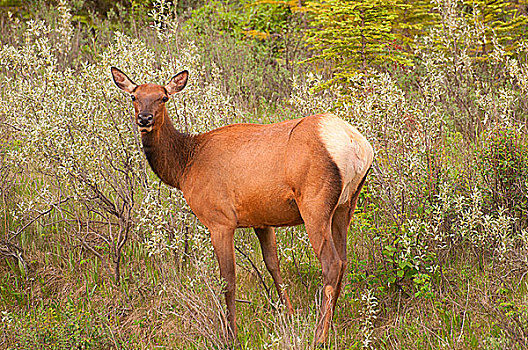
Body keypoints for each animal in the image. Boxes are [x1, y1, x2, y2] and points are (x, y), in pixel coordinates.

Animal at [111, 67, 374, 346]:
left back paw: (319, 336)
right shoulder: (262, 219)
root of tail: (357, 145)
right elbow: (272, 264)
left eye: (163, 97)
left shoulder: (220, 220)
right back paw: (330, 326)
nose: (145, 118)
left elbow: (227, 279)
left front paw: (230, 335)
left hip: (315, 204)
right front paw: (290, 315)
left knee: (331, 263)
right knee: (344, 260)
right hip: (346, 205)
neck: (183, 167)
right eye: (134, 96)